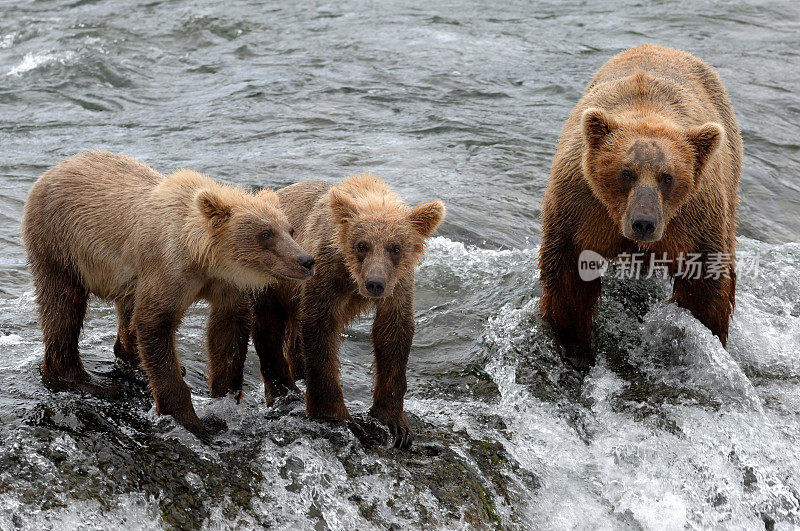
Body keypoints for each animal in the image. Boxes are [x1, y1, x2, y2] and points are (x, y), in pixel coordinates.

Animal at [536, 44, 744, 370]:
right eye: (626, 173)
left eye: (667, 177)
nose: (643, 222)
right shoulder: (582, 208)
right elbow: (568, 280)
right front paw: (576, 349)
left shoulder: (694, 219)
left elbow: (704, 287)